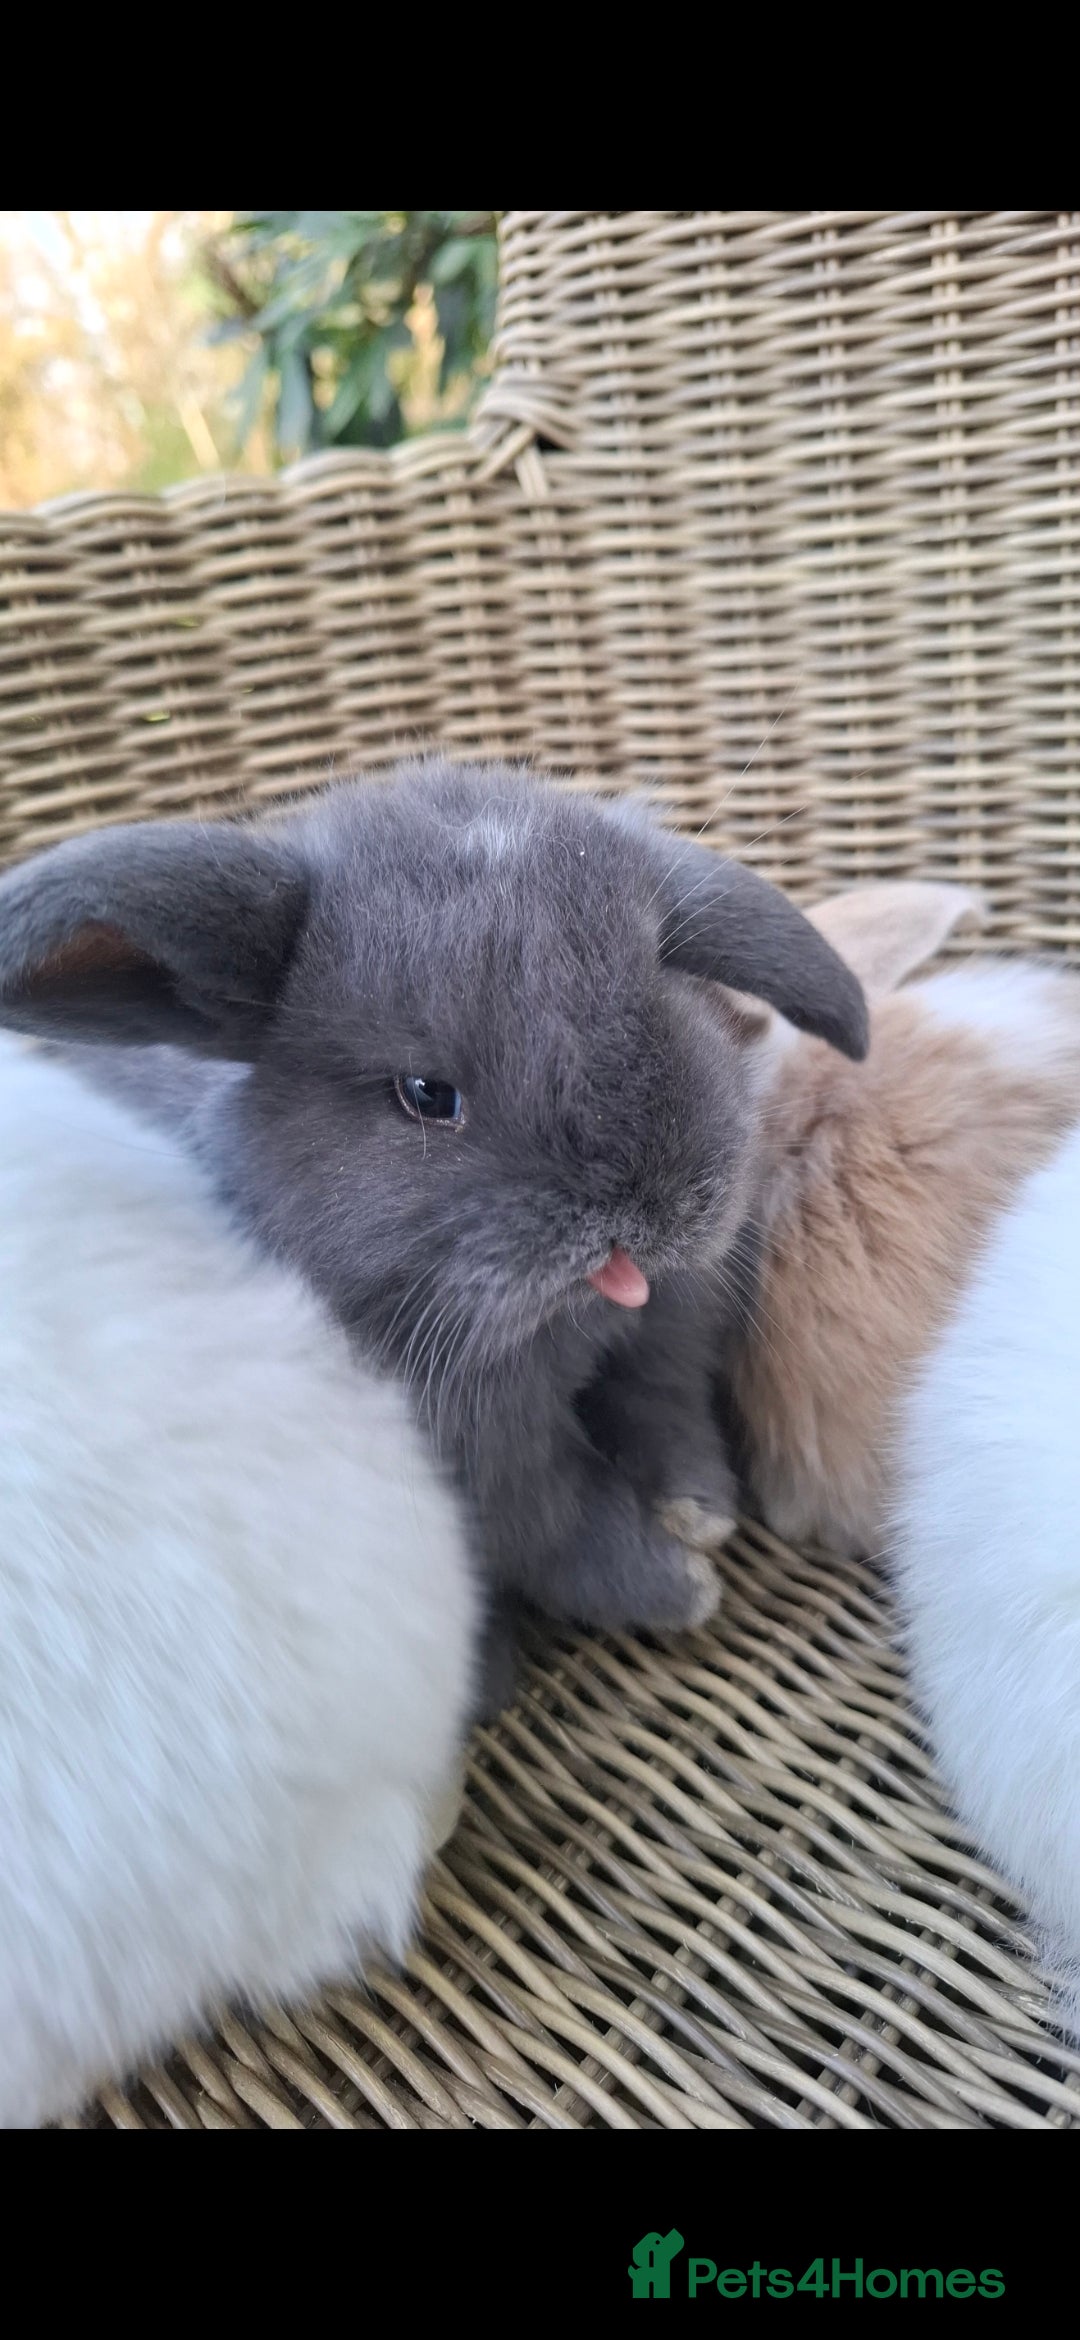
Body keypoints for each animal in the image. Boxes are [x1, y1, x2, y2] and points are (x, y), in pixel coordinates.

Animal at [0, 757, 868, 1694]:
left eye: (664, 985)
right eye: (425, 1094)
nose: (643, 1214)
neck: (567, 1326)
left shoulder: (664, 1343)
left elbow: (669, 1419)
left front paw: (698, 1512)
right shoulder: (495, 1476)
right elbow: (573, 1536)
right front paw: (683, 1584)